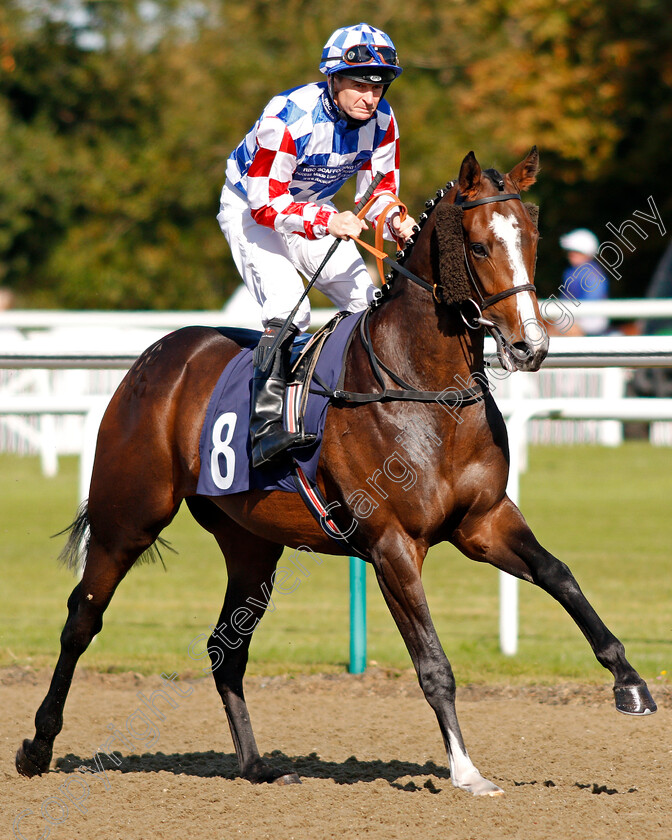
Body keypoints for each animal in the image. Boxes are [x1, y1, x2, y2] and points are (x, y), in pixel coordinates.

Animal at [17, 148, 656, 796]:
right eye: (478, 246)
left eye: (530, 238)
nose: (531, 346)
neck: (424, 390)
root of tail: (157, 354)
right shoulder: (392, 543)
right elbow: (433, 663)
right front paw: (466, 770)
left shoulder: (484, 521)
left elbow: (560, 575)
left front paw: (629, 681)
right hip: (129, 516)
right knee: (82, 618)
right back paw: (38, 746)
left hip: (251, 544)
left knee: (226, 647)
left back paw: (257, 766)